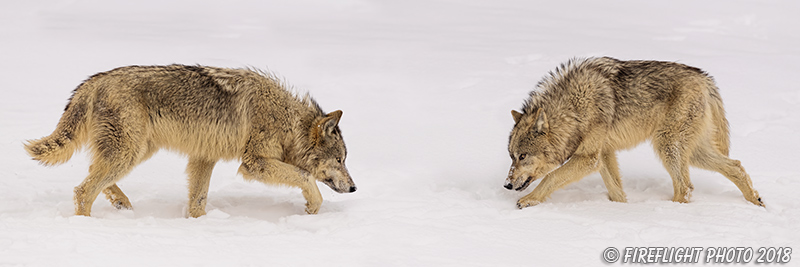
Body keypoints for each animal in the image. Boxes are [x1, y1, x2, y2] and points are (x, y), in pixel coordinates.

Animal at [25, 64, 356, 218]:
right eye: (340, 160)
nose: (354, 188)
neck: (288, 122)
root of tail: (95, 79)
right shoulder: (254, 163)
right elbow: (305, 177)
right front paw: (312, 208)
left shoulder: (203, 158)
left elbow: (198, 200)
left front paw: (199, 224)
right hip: (129, 153)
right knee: (83, 190)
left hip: (136, 151)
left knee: (94, 173)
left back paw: (121, 202)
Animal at [506, 57, 764, 209]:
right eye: (511, 156)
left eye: (522, 156)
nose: (507, 185)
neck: (574, 108)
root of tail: (704, 77)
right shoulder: (604, 154)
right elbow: (615, 190)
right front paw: (622, 210)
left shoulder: (589, 158)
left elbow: (550, 177)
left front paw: (528, 200)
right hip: (692, 152)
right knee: (736, 165)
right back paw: (756, 201)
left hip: (667, 146)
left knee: (686, 187)